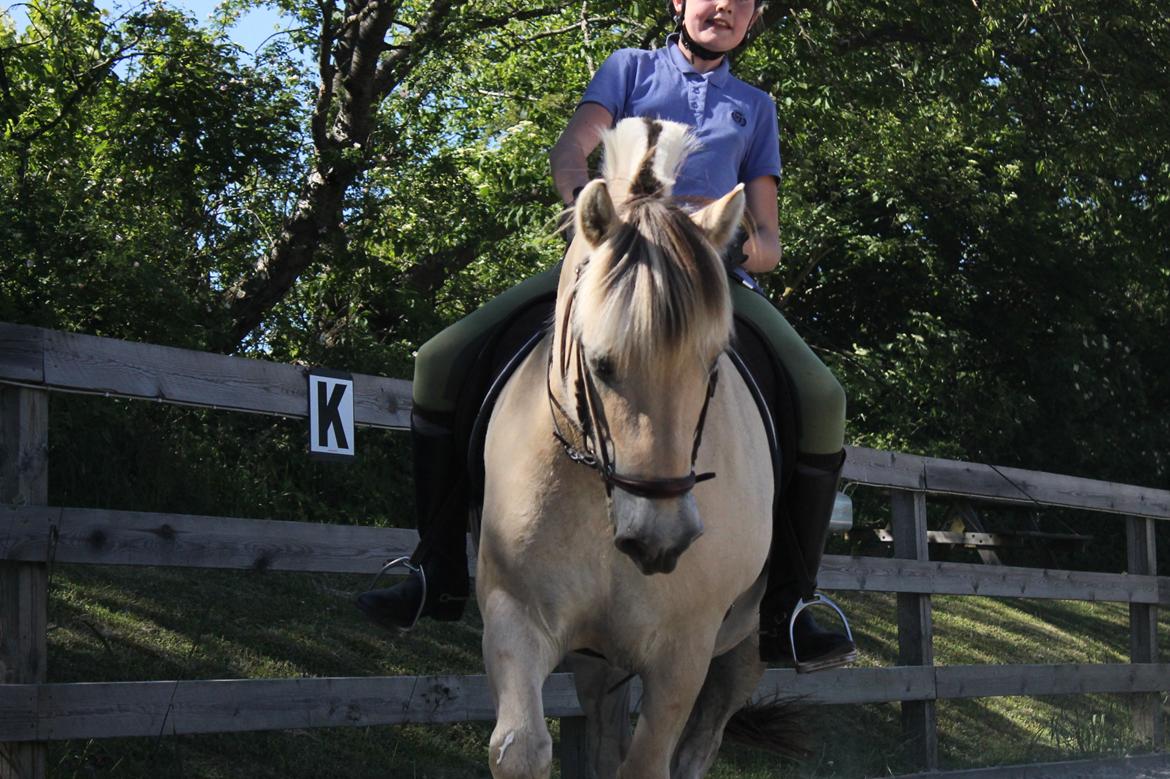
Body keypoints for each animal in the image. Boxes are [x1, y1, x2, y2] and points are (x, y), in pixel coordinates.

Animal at [479, 116, 790, 776]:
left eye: (712, 364)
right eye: (599, 363)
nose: (660, 539)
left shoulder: (682, 655)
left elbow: (649, 763)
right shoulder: (514, 613)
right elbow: (522, 748)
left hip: (744, 650)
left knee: (699, 747)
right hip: (600, 661)